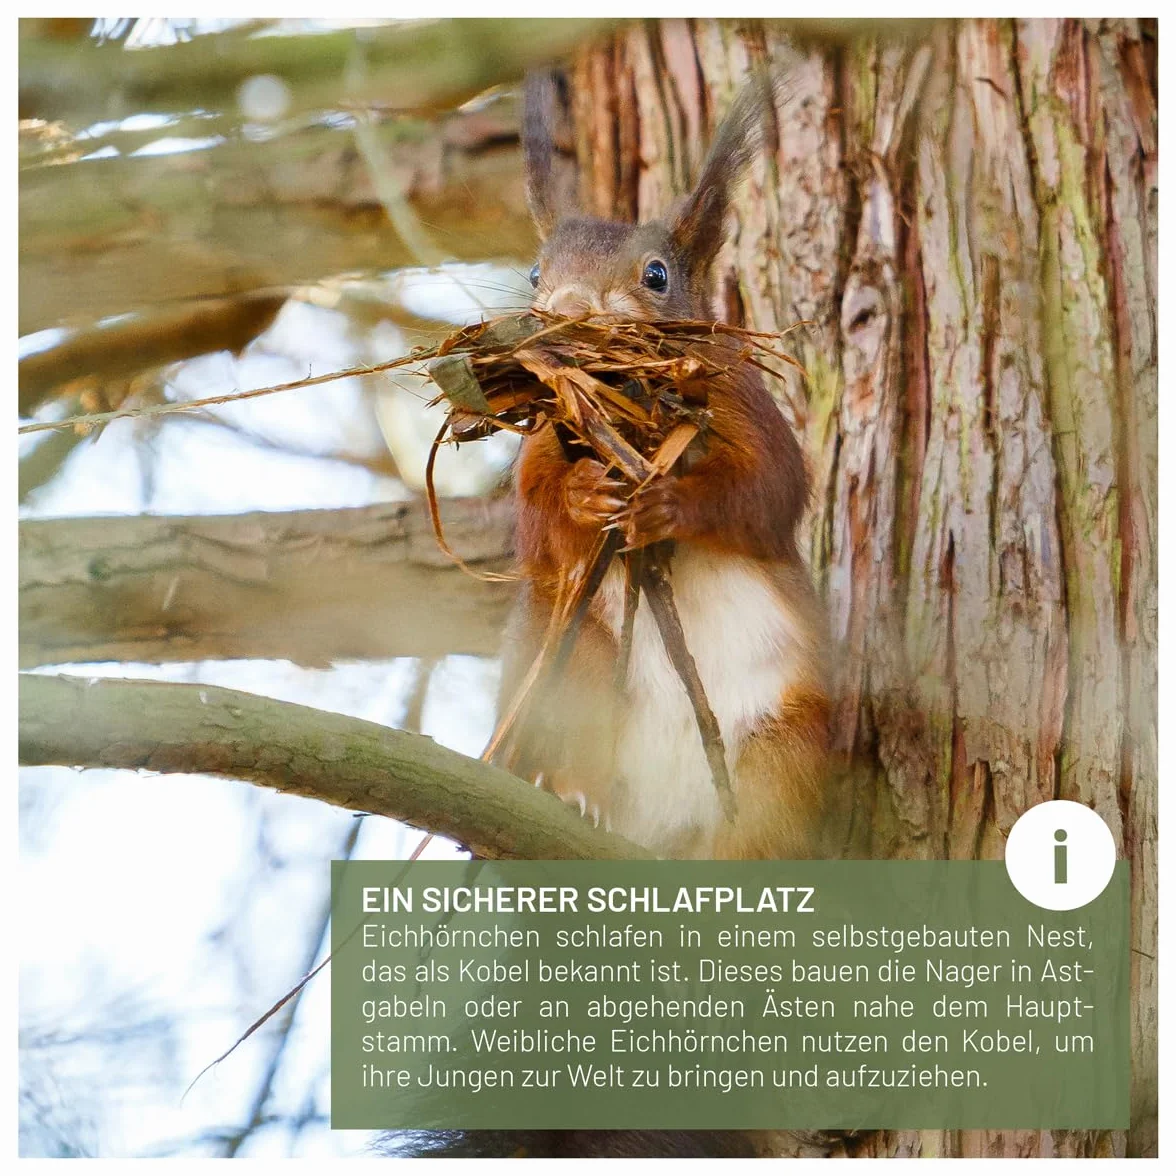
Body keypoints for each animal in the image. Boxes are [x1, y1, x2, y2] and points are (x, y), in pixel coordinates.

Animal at [387, 68, 832, 1161]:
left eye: (659, 274)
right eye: (535, 269)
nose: (567, 315)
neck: (628, 410)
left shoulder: (751, 415)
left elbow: (764, 496)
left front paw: (669, 504)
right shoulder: (546, 444)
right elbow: (541, 511)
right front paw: (592, 500)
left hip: (780, 748)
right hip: (572, 671)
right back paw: (575, 800)